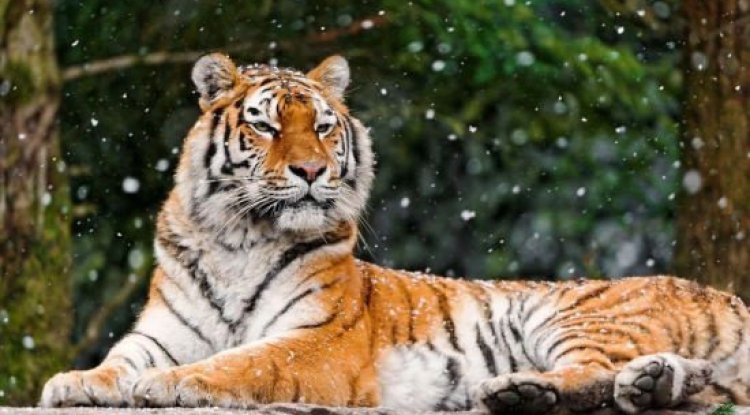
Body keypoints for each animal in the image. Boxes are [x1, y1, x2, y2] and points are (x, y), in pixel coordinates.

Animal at [40, 53, 750, 415]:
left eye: (323, 126)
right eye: (266, 126)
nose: (310, 170)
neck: (238, 238)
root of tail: (722, 293)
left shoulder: (317, 340)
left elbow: (245, 360)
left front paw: (174, 384)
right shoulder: (162, 331)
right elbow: (120, 358)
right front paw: (75, 382)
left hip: (576, 315)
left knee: (594, 374)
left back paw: (523, 391)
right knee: (665, 381)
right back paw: (647, 385)